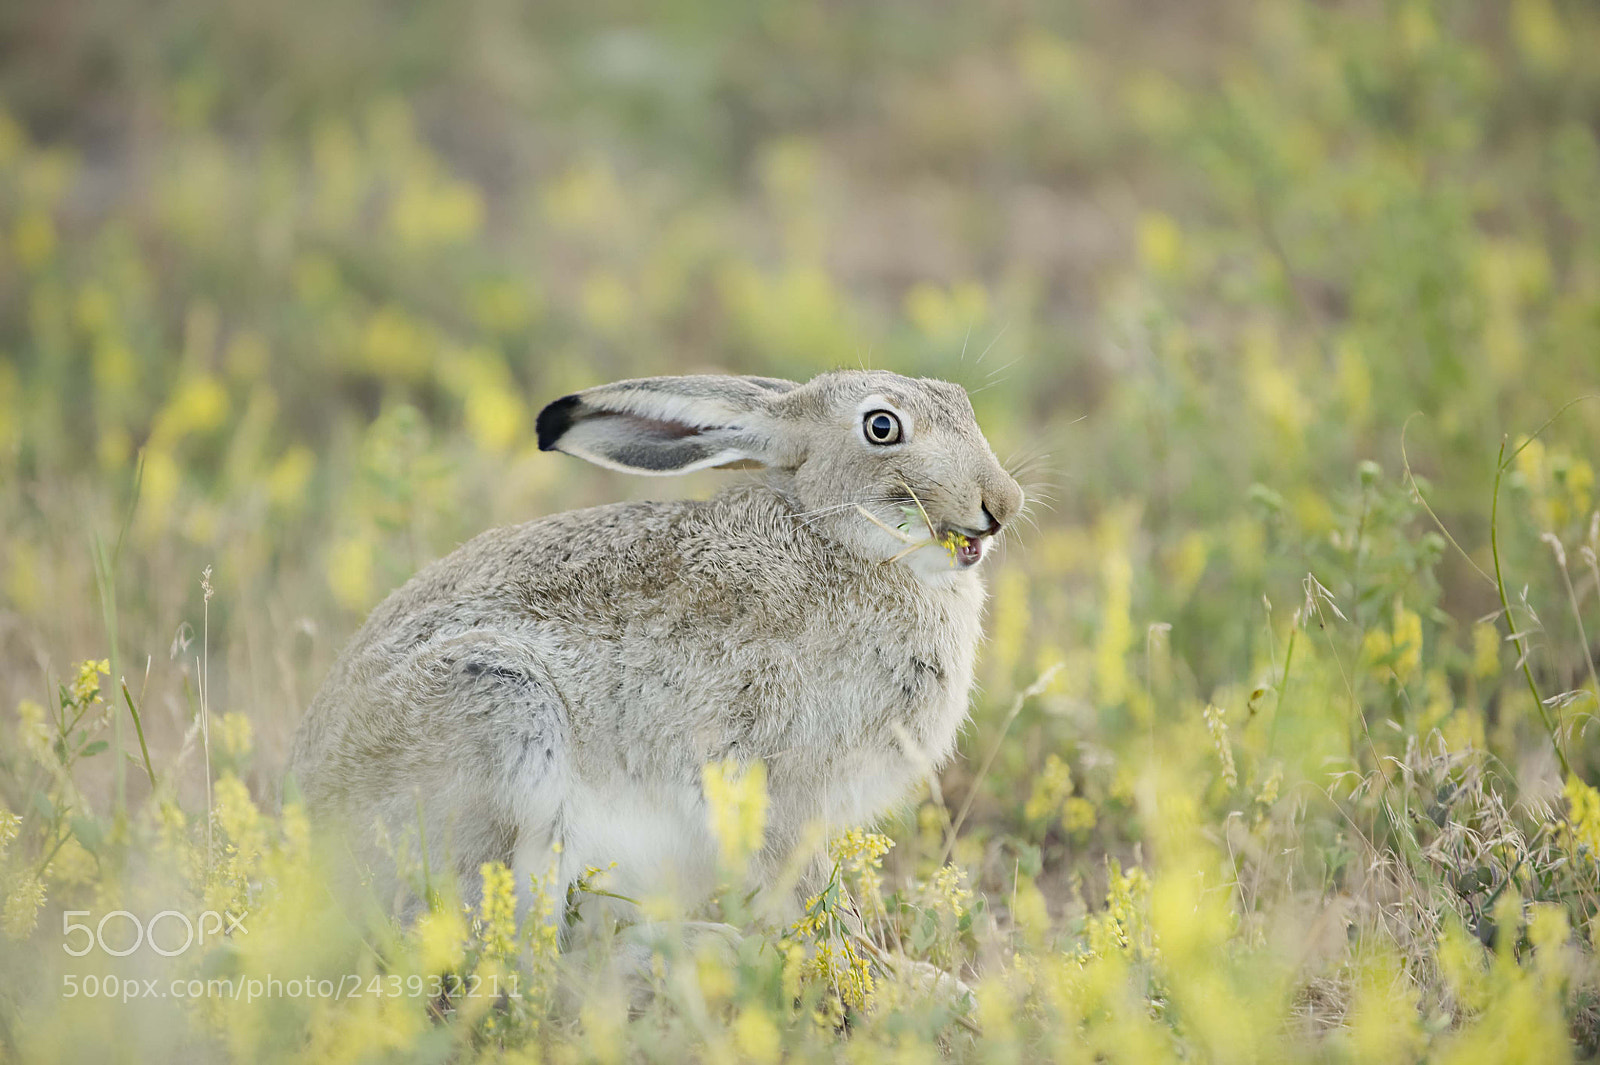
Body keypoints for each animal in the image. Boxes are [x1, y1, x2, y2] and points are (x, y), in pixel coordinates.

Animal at [288, 370, 1024, 920]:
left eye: (960, 399)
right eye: (882, 427)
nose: (1003, 503)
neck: (840, 539)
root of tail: (313, 832)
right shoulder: (783, 790)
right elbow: (812, 896)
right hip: (505, 712)